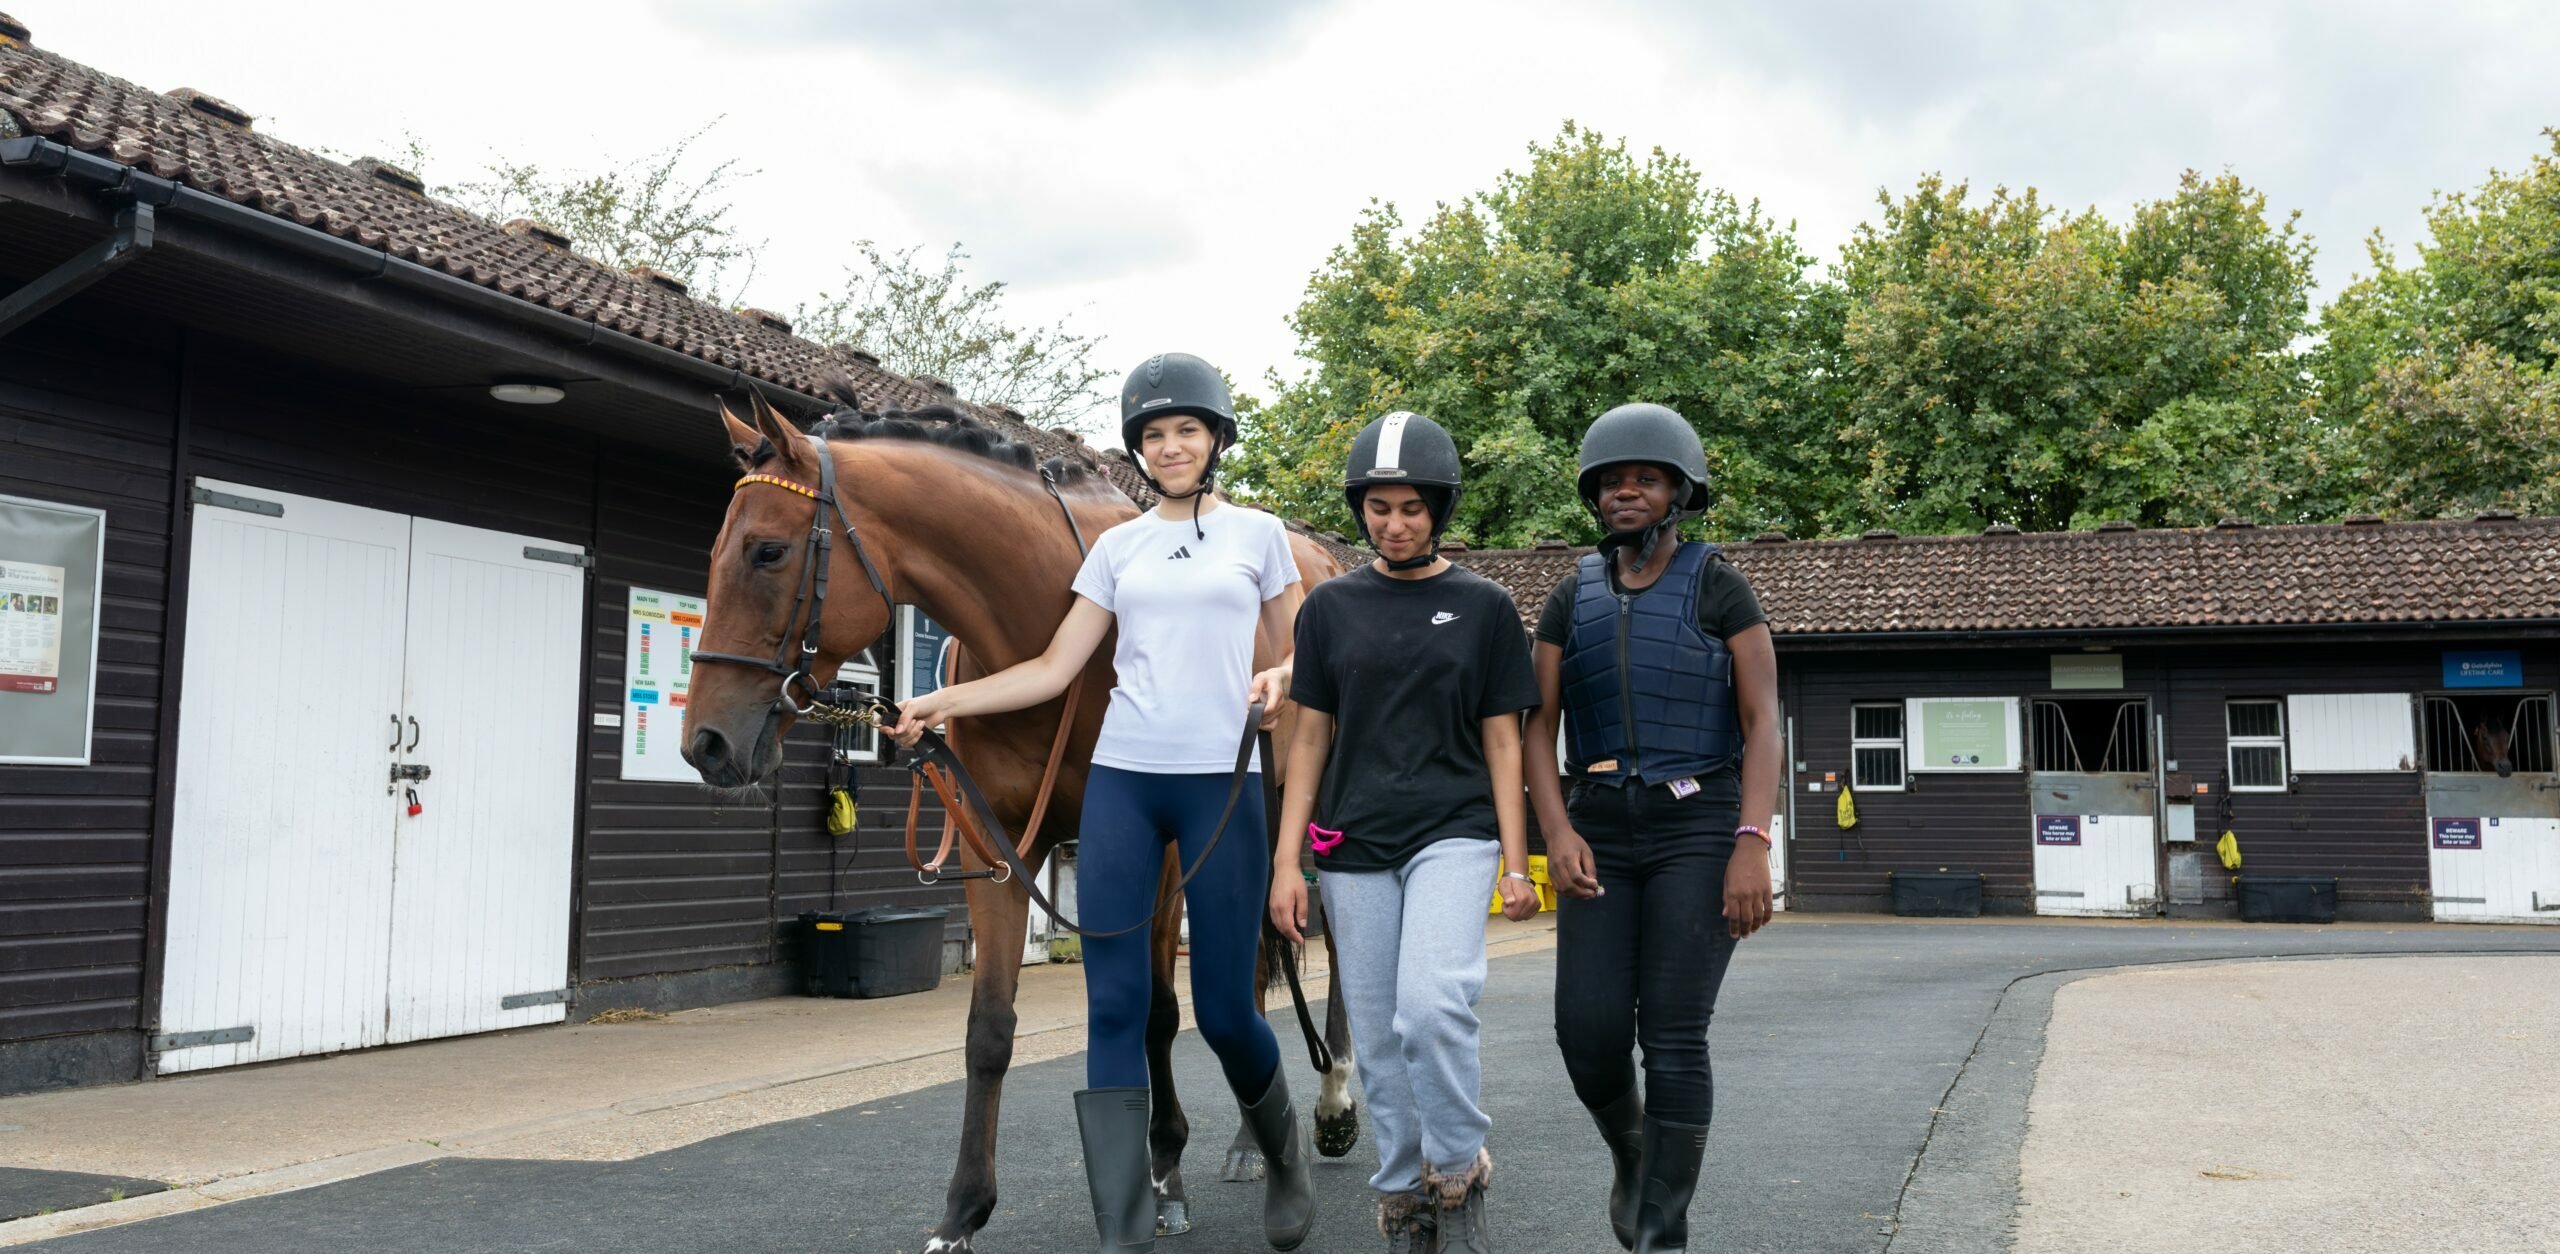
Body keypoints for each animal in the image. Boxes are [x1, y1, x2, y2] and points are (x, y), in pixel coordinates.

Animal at [680, 391, 1361, 1254]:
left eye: (767, 552)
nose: (706, 742)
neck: (1049, 623)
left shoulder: (1166, 854)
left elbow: (1160, 1013)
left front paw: (1164, 1173)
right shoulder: (999, 846)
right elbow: (990, 1031)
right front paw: (963, 1212)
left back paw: (1334, 1104)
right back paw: (1250, 1143)